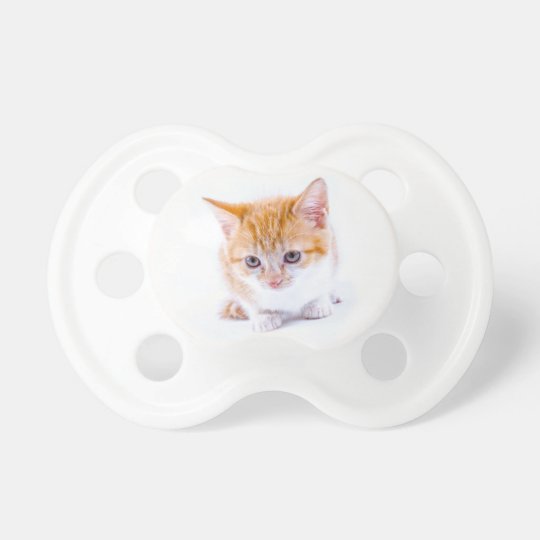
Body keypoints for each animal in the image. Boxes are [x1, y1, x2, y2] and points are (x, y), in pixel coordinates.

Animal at [203, 178, 341, 332]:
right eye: (252, 260)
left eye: (292, 256)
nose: (273, 282)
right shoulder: (231, 275)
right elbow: (249, 300)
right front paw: (264, 315)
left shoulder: (328, 259)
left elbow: (322, 283)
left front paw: (317, 302)